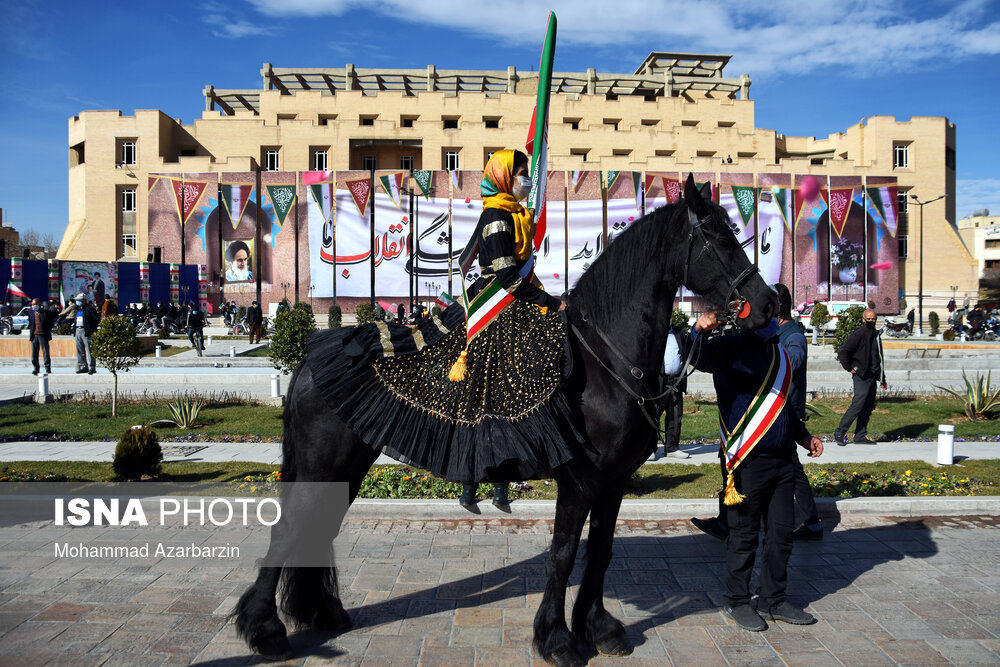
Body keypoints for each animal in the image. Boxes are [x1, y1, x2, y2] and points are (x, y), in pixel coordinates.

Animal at [234, 175, 772, 664]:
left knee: (316, 529)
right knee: (289, 530)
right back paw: (265, 632)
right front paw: (556, 640)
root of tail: (311, 357)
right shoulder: (581, 480)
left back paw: (322, 614)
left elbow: (600, 551)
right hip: (324, 464)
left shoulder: (614, 482)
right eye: (720, 237)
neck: (606, 363)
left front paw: (598, 628)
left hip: (345, 466)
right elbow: (563, 553)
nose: (768, 303)